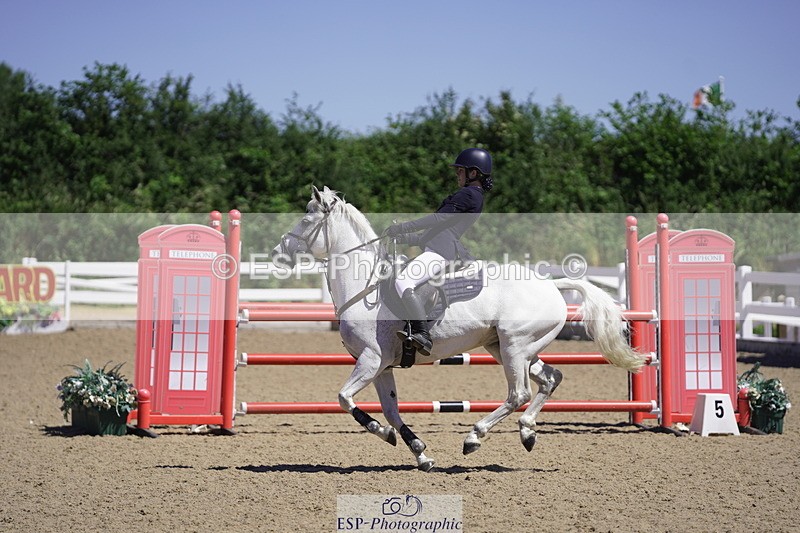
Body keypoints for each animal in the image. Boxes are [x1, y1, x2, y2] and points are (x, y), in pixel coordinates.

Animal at [273, 186, 646, 471]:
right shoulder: (381, 366)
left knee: (518, 394)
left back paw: (474, 437)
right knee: (550, 379)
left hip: (514, 346)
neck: (365, 288)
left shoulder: (370, 360)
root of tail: (554, 285)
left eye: (306, 217)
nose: (278, 252)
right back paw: (527, 432)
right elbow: (392, 410)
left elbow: (344, 399)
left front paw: (381, 432)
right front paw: (419, 452)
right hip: (511, 348)